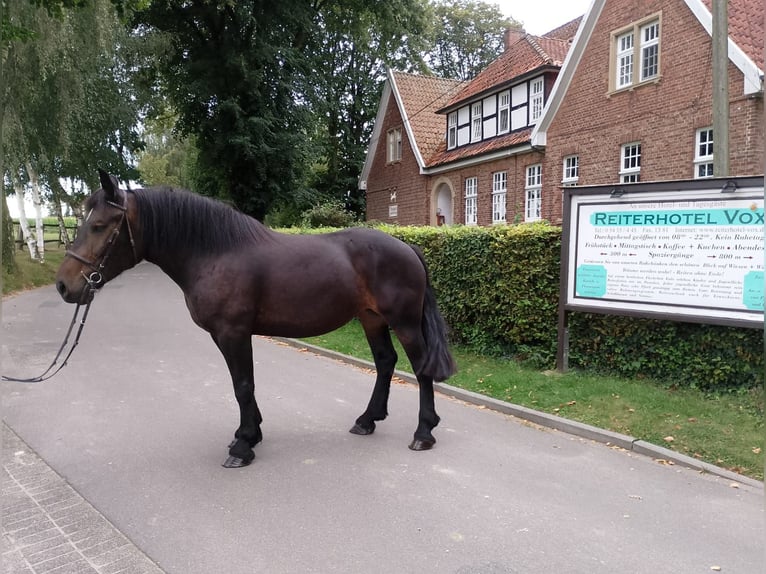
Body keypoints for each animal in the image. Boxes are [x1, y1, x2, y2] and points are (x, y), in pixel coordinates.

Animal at [58, 170, 462, 468]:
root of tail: (406, 246)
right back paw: (367, 420)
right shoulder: (229, 335)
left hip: (404, 322)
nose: (64, 285)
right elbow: (244, 385)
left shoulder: (233, 333)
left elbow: (242, 385)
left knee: (420, 369)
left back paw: (423, 433)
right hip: (371, 318)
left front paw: (242, 446)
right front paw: (251, 433)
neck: (216, 252)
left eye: (99, 225)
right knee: (385, 361)